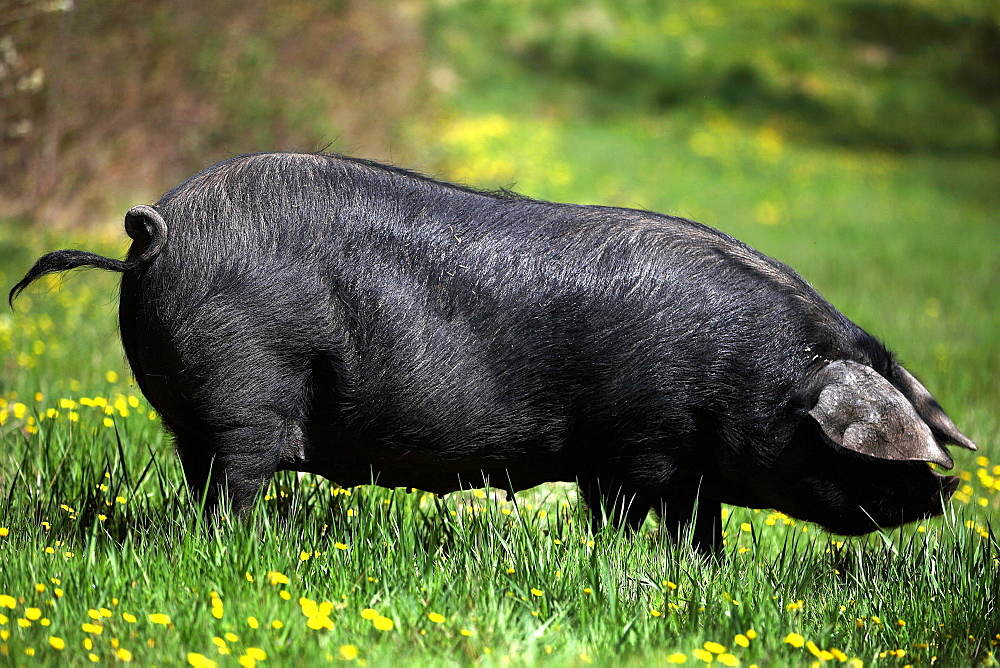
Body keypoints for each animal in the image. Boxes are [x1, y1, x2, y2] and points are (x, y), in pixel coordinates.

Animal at [9, 151, 976, 552]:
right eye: (859, 444)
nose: (947, 491)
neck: (752, 379)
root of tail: (152, 235)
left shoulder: (691, 473)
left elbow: (700, 536)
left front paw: (699, 574)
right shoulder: (632, 449)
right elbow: (623, 517)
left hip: (196, 412)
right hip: (244, 392)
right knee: (232, 486)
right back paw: (240, 551)